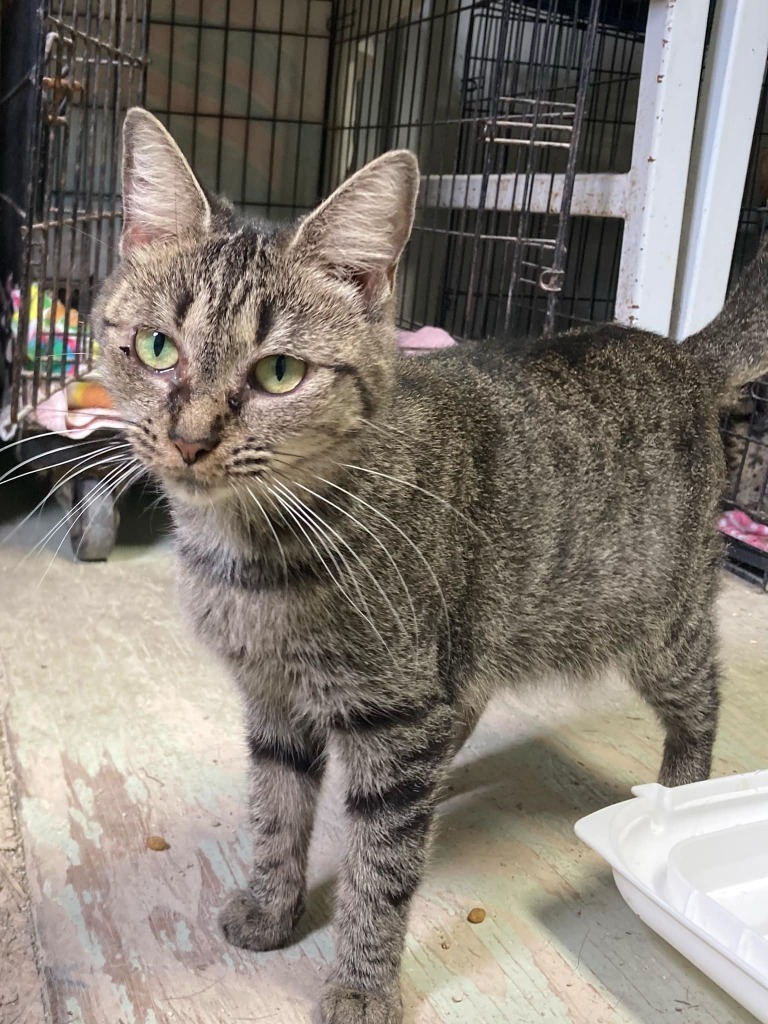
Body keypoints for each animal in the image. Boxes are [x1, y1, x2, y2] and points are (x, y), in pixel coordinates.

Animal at [93, 110, 761, 1024]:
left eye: (278, 372)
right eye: (158, 348)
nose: (191, 439)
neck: (250, 554)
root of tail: (685, 355)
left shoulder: (395, 719)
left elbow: (380, 870)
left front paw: (360, 983)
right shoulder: (275, 703)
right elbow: (275, 813)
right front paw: (272, 905)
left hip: (660, 624)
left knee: (701, 703)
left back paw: (678, 797)